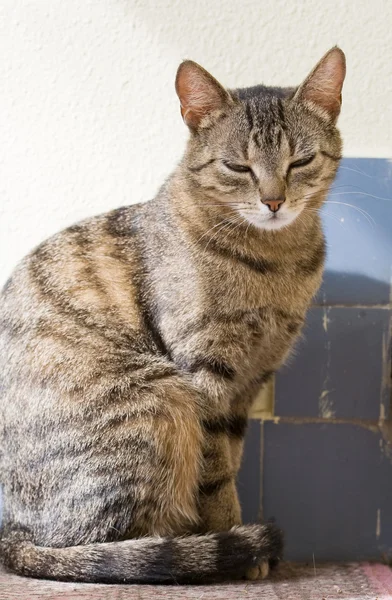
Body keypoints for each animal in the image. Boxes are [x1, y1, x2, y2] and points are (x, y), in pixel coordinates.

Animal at [0, 48, 344, 584]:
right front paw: (234, 539)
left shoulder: (250, 381)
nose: (273, 200)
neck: (274, 262)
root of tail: (14, 532)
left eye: (301, 160)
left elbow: (232, 459)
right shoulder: (205, 373)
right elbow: (216, 474)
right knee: (107, 545)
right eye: (237, 166)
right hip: (161, 402)